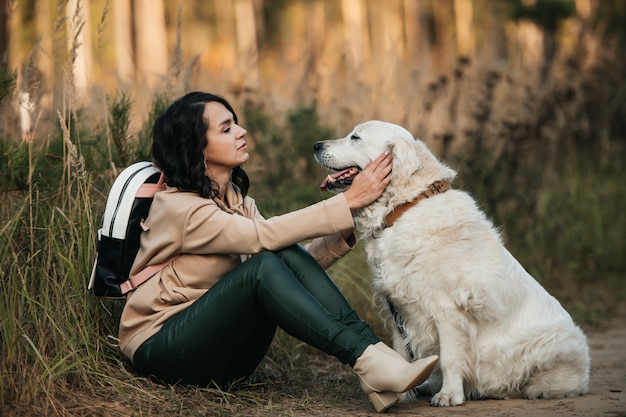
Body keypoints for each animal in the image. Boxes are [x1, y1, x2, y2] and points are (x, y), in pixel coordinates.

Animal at [314, 120, 588, 406]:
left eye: (355, 137)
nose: (316, 145)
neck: (405, 207)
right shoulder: (396, 305)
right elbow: (401, 351)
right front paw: (401, 390)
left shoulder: (446, 308)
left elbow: (449, 359)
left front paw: (449, 394)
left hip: (555, 343)